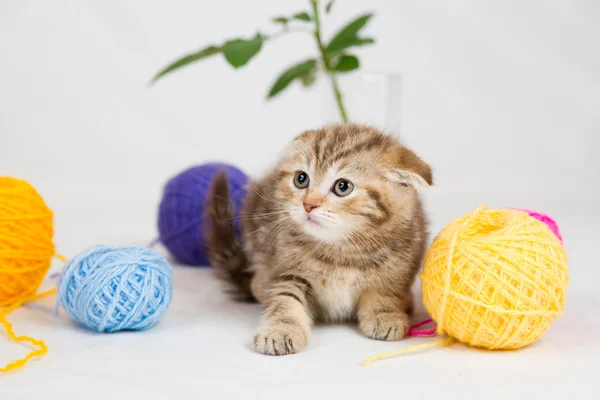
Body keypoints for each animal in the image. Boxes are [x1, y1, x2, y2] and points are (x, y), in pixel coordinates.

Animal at [206, 123, 432, 354]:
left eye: (343, 186)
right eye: (301, 179)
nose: (308, 204)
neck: (341, 250)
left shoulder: (401, 263)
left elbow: (386, 291)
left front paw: (385, 314)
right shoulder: (283, 267)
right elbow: (284, 299)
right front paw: (281, 330)